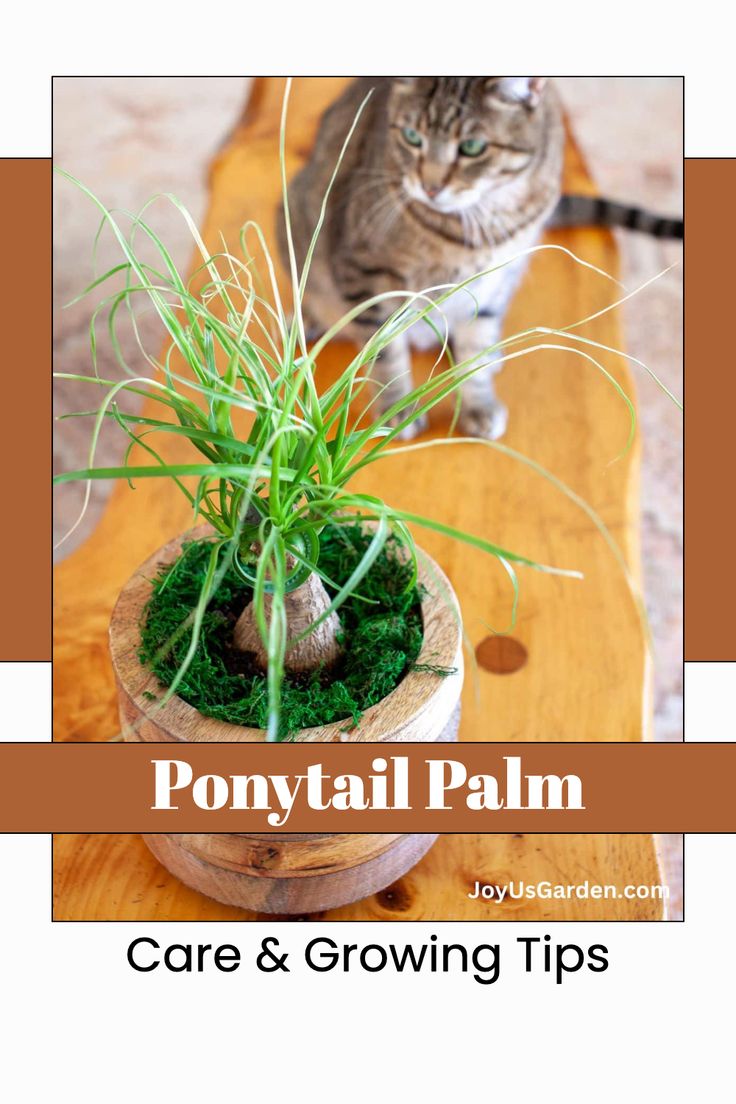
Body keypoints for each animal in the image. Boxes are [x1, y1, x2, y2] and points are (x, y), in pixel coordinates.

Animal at [282, 76, 684, 439]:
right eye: (412, 137)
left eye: (473, 147)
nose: (430, 186)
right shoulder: (366, 272)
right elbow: (386, 351)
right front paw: (395, 411)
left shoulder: (494, 280)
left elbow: (476, 337)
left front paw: (479, 403)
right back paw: (305, 321)